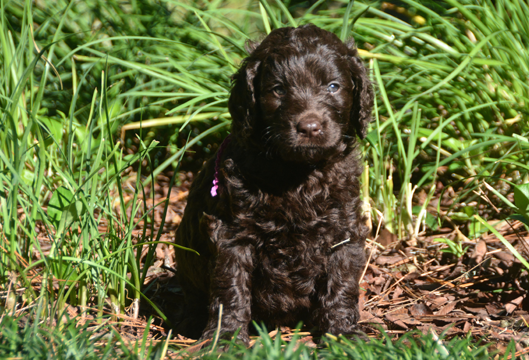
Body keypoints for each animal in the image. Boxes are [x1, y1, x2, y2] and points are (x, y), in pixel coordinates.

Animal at [173, 25, 372, 344]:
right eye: (278, 90)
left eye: (333, 86)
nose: (309, 127)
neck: (297, 173)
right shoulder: (232, 233)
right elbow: (230, 288)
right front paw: (226, 339)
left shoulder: (343, 229)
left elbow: (341, 283)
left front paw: (343, 334)